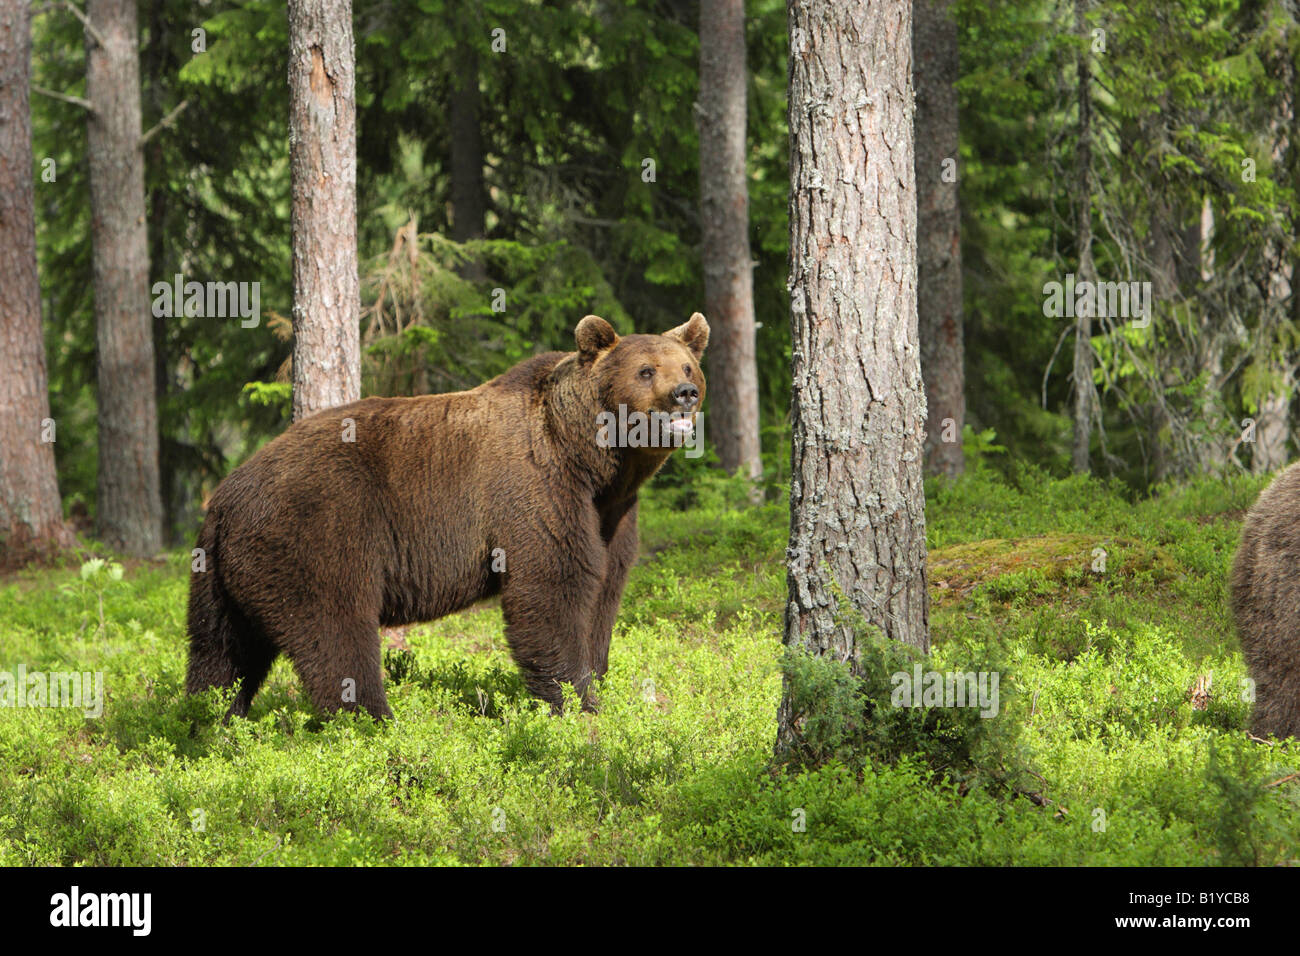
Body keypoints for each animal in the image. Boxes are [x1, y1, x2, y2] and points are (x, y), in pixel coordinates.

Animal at [185, 313, 708, 719]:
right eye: (646, 370)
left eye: (687, 364)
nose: (685, 392)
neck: (590, 461)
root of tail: (226, 495)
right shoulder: (535, 493)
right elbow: (551, 590)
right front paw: (576, 700)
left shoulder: (611, 514)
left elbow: (604, 590)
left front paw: (597, 681)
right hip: (318, 531)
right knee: (335, 632)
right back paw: (373, 719)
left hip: (223, 573)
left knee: (221, 651)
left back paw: (210, 720)